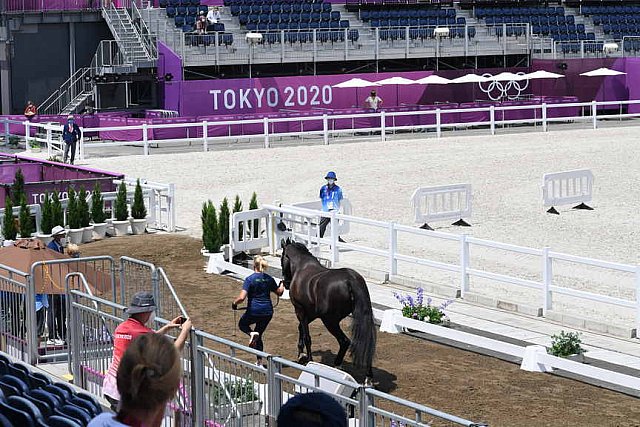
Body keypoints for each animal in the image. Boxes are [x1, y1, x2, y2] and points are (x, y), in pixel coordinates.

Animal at [280, 239, 376, 382]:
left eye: (281, 257)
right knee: (366, 343)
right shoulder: (312, 313)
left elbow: (306, 335)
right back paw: (368, 377)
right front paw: (301, 354)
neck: (302, 267)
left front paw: (308, 359)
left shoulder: (300, 310)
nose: (286, 283)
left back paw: (337, 365)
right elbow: (301, 328)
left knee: (344, 341)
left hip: (330, 321)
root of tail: (350, 280)